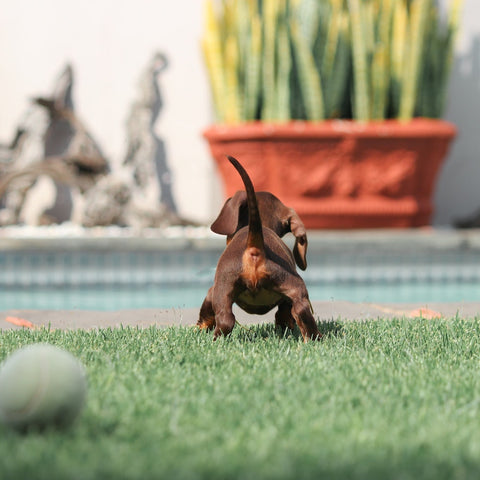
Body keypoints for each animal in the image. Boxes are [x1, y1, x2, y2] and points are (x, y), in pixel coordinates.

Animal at [197, 157, 320, 342]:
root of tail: (255, 249)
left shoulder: (213, 291)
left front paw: (199, 327)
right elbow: (285, 314)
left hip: (226, 286)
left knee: (226, 319)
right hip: (291, 285)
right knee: (300, 308)